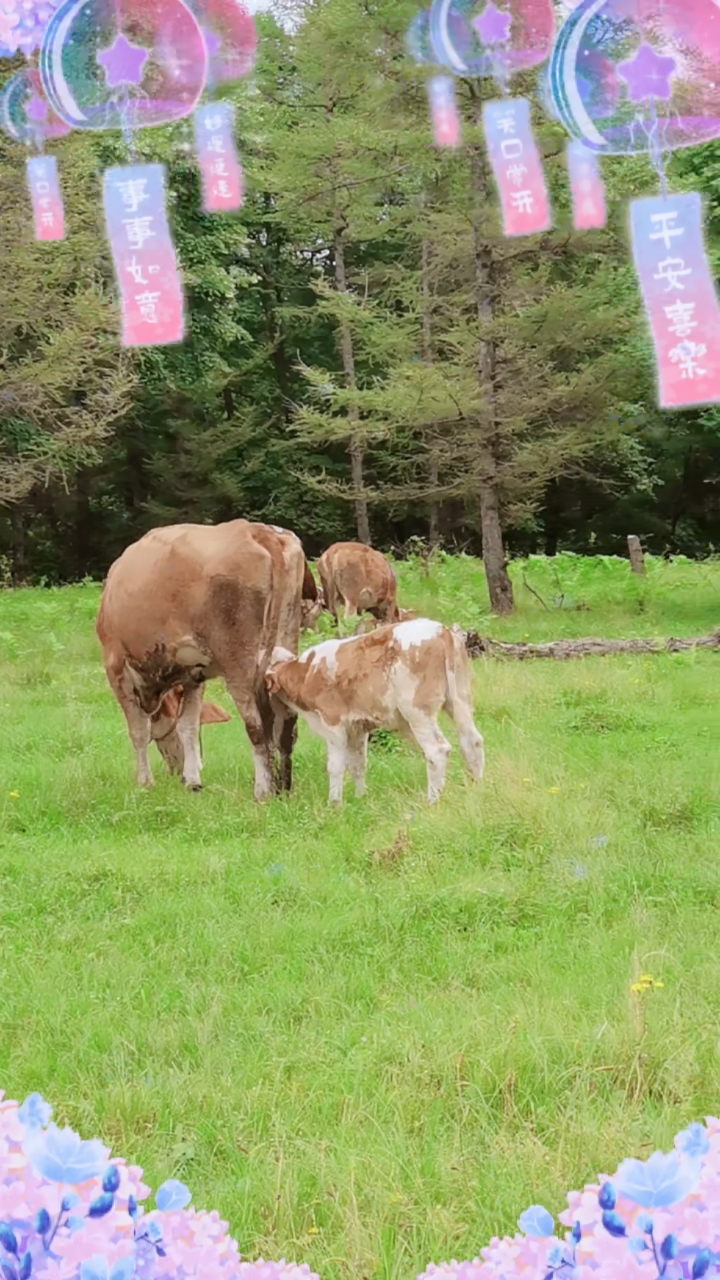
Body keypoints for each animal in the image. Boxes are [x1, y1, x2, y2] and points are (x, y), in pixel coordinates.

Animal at [95, 514, 313, 793]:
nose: (174, 771)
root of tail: (255, 530)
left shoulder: (116, 665)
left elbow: (139, 731)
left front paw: (145, 783)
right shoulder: (193, 675)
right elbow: (187, 725)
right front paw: (193, 781)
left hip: (238, 659)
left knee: (255, 723)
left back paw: (263, 790)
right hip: (285, 639)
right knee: (286, 721)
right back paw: (284, 787)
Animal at [263, 616, 481, 803]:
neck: (308, 673)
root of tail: (441, 630)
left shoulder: (333, 724)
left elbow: (335, 766)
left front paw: (334, 804)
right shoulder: (357, 727)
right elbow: (358, 764)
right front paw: (361, 798)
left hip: (418, 711)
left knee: (437, 750)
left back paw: (432, 801)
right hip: (460, 700)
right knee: (472, 741)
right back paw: (476, 787)